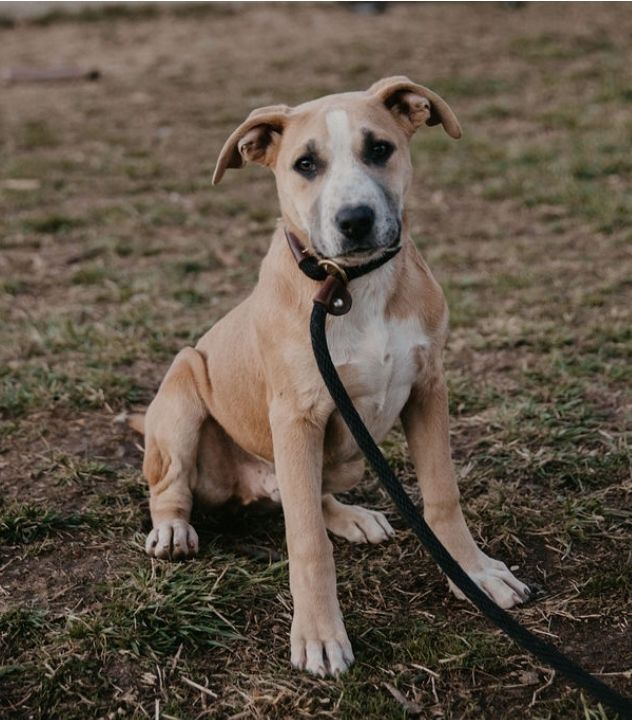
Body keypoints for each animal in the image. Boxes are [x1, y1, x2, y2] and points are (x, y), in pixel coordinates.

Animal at [131, 77, 532, 676]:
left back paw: (351, 517)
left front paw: (476, 575)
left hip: (341, 456)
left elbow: (442, 497)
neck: (351, 287)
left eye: (380, 149)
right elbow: (307, 543)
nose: (355, 220)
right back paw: (174, 528)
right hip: (183, 387)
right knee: (173, 484)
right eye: (305, 164)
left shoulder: (428, 388)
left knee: (307, 495)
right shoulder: (297, 416)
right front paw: (319, 633)